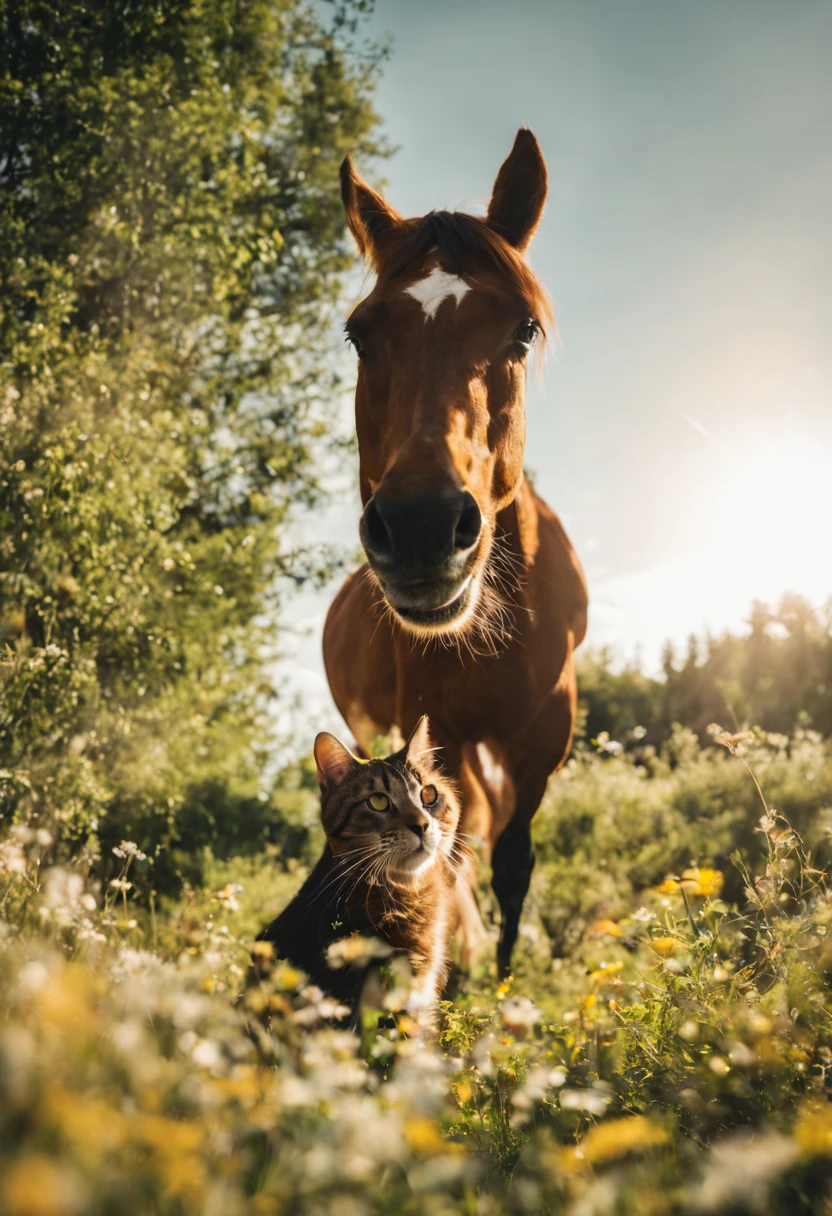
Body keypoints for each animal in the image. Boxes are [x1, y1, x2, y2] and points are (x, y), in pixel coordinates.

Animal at [323, 129, 588, 977]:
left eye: (523, 329)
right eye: (360, 333)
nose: (421, 526)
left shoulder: (542, 742)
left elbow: (513, 864)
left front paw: (504, 980)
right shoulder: (433, 729)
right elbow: (451, 844)